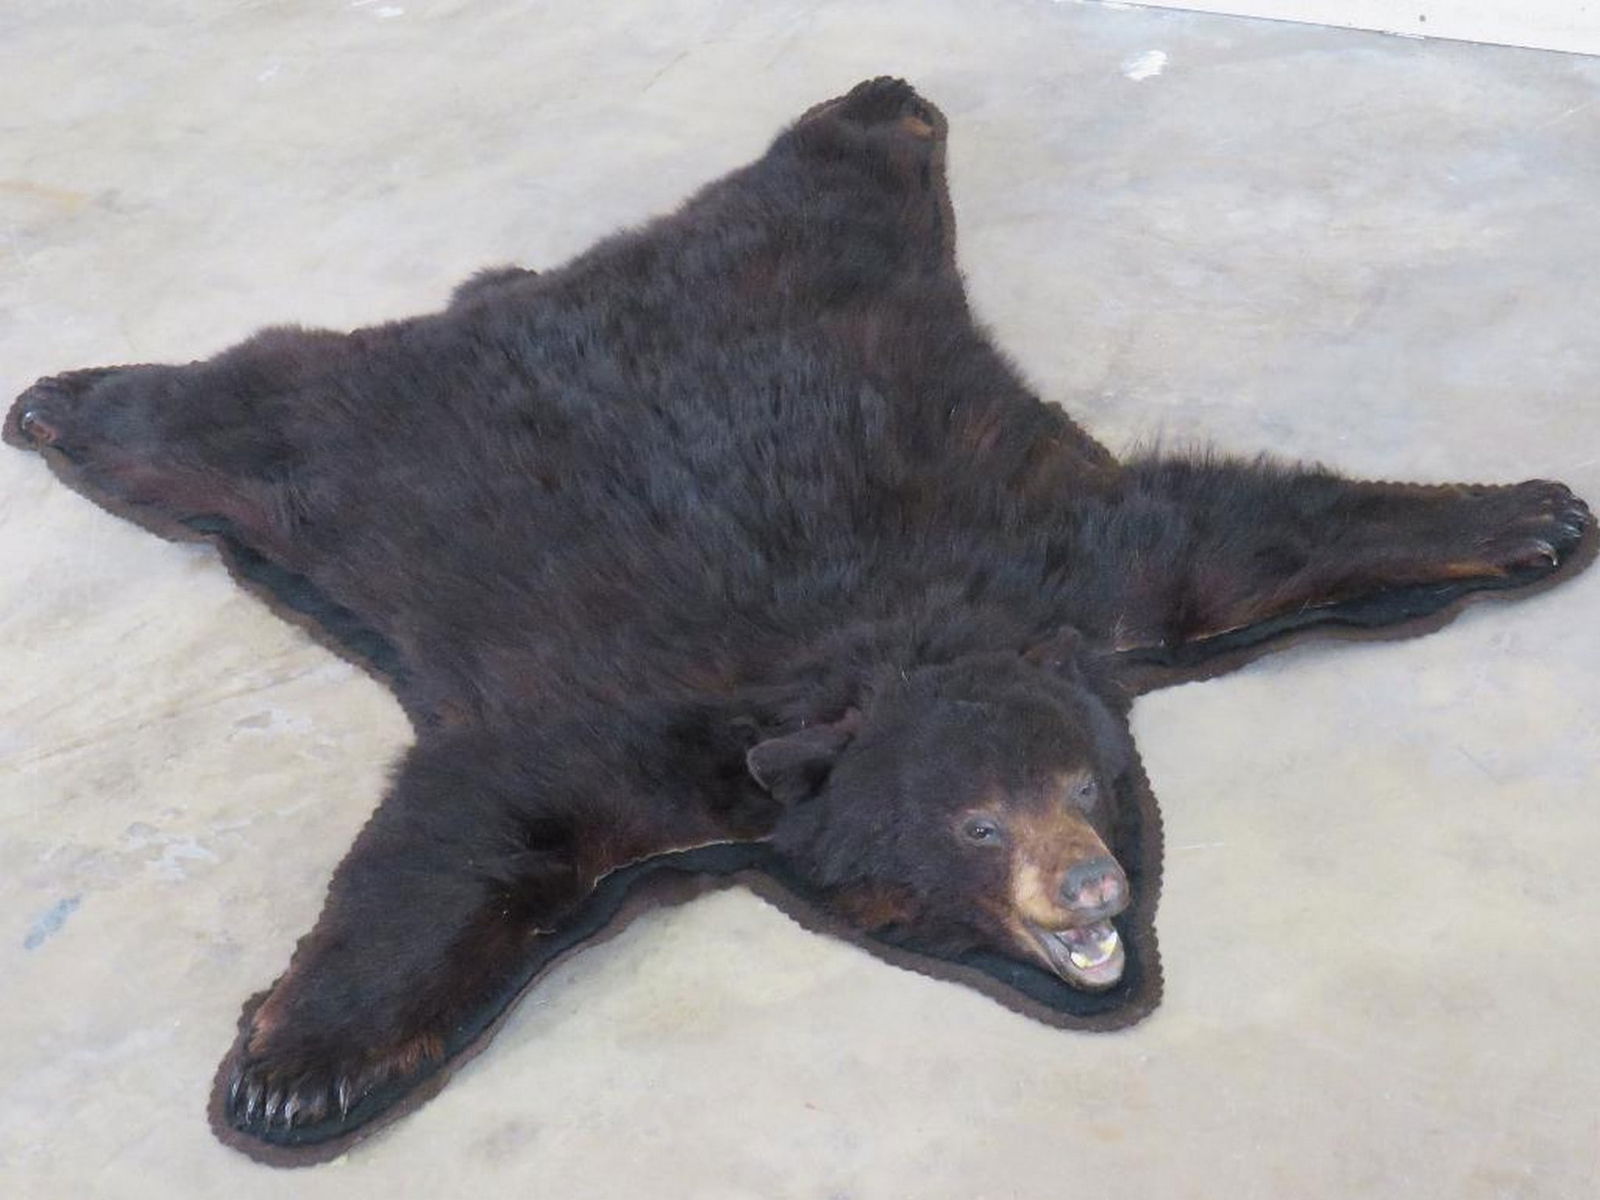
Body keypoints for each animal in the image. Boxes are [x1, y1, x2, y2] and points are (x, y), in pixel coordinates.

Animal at [4, 77, 1593, 1164]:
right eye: (978, 825)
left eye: (1091, 786)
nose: (1090, 896)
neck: (862, 659)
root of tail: (537, 285)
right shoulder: (633, 736)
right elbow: (466, 834)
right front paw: (295, 1072)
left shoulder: (1065, 570)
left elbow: (1239, 534)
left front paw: (1529, 511)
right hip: (357, 451)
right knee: (237, 408)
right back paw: (59, 398)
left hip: (823, 263)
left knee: (835, 167)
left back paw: (884, 101)